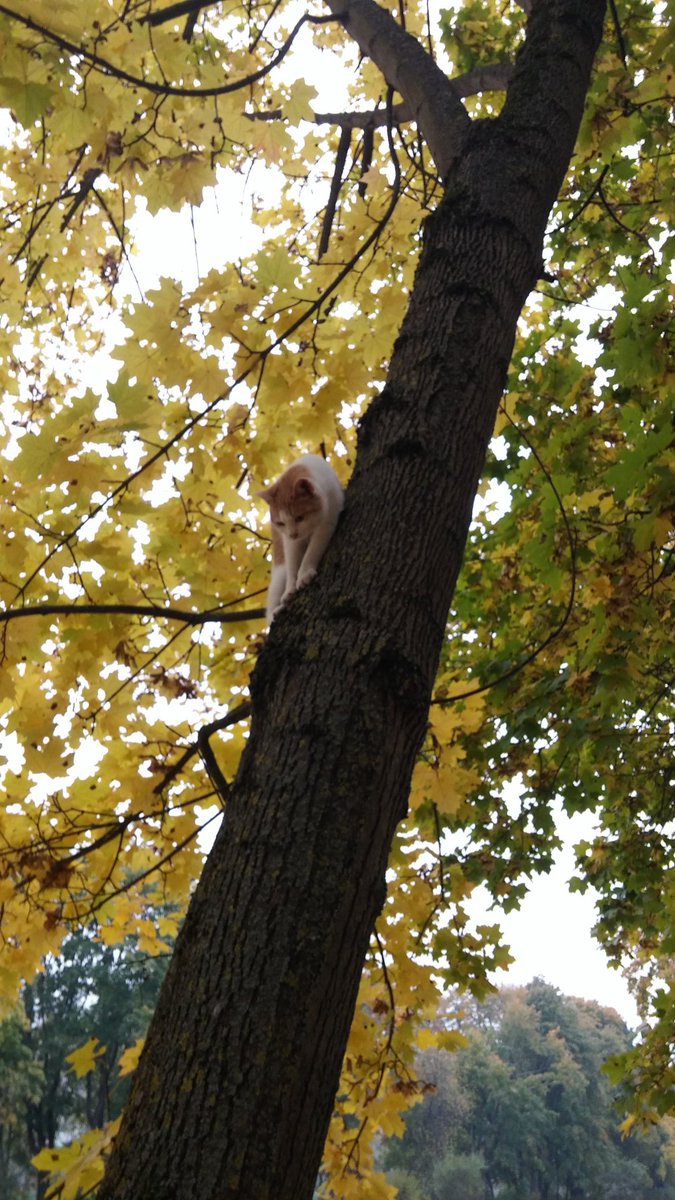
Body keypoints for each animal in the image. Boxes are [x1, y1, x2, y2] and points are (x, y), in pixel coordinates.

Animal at [258, 454, 344, 622]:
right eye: (281, 523)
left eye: (299, 518)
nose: (293, 534)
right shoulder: (289, 543)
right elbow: (293, 563)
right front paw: (290, 590)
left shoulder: (328, 520)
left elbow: (312, 551)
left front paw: (304, 574)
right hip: (279, 573)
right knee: (269, 612)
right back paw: (276, 611)